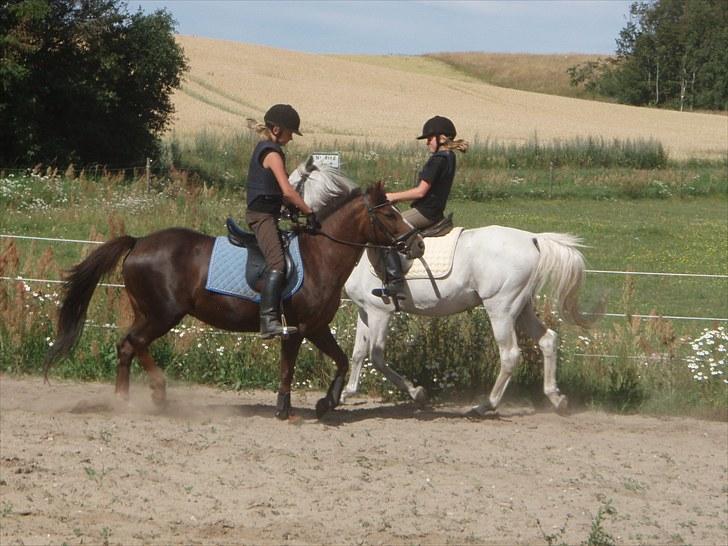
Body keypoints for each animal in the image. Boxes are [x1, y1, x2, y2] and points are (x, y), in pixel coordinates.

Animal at [45, 168, 418, 418]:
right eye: (389, 213)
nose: (417, 243)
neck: (320, 256)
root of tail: (138, 242)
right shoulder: (298, 328)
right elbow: (288, 368)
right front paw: (285, 408)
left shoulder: (317, 327)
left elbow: (340, 360)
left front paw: (328, 401)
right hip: (163, 314)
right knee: (134, 344)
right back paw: (158, 393)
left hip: (148, 312)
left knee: (126, 347)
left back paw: (123, 401)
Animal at [338, 223, 588, 414]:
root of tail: (532, 238)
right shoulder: (365, 311)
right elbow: (358, 353)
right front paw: (345, 393)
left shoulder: (379, 312)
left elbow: (376, 357)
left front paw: (417, 393)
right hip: (522, 309)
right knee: (547, 340)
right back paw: (557, 399)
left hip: (501, 310)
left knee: (509, 355)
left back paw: (485, 405)